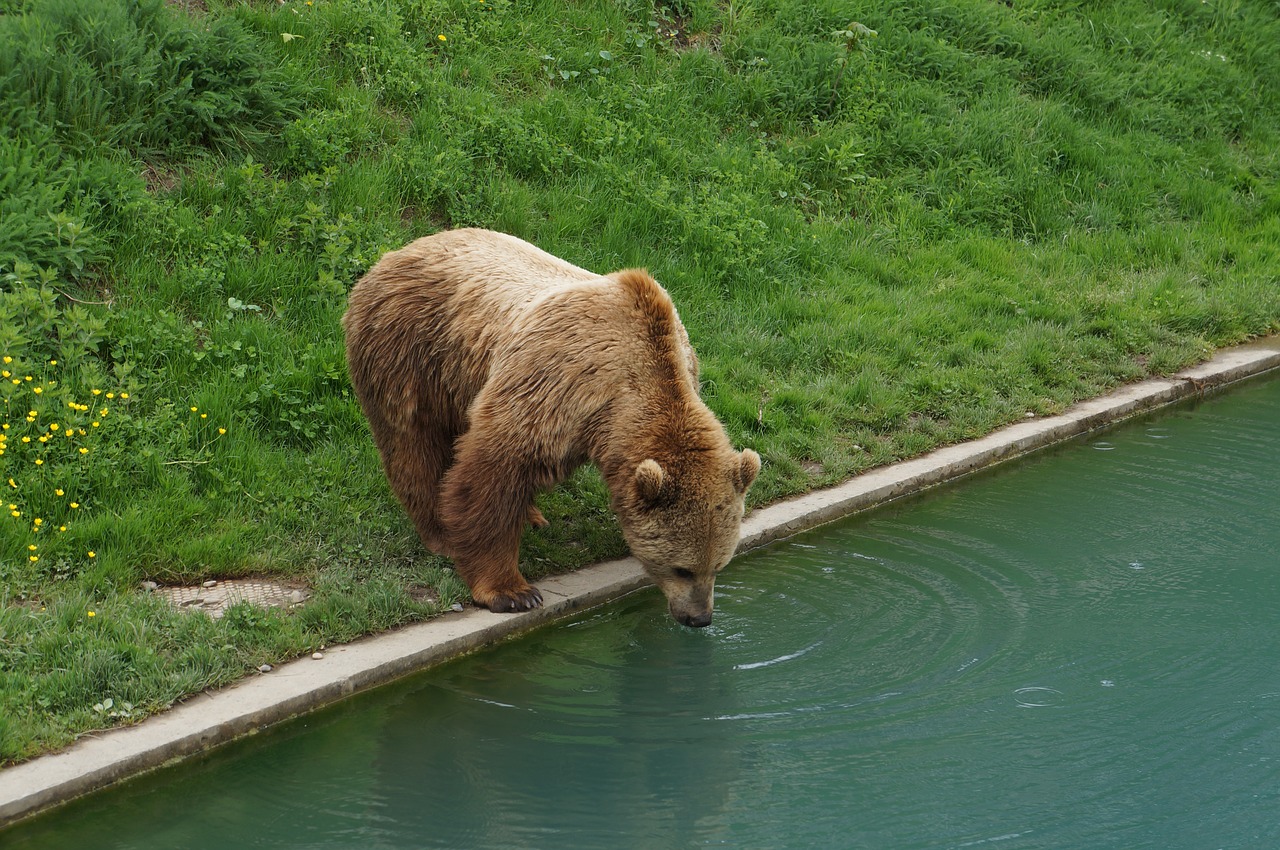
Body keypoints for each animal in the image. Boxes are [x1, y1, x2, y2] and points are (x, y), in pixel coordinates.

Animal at [343, 229, 757, 627]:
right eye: (683, 569)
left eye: (719, 565)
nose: (699, 618)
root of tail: (394, 253)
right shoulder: (559, 383)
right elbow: (495, 466)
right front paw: (512, 592)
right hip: (411, 350)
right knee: (413, 443)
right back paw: (440, 532)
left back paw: (531, 515)